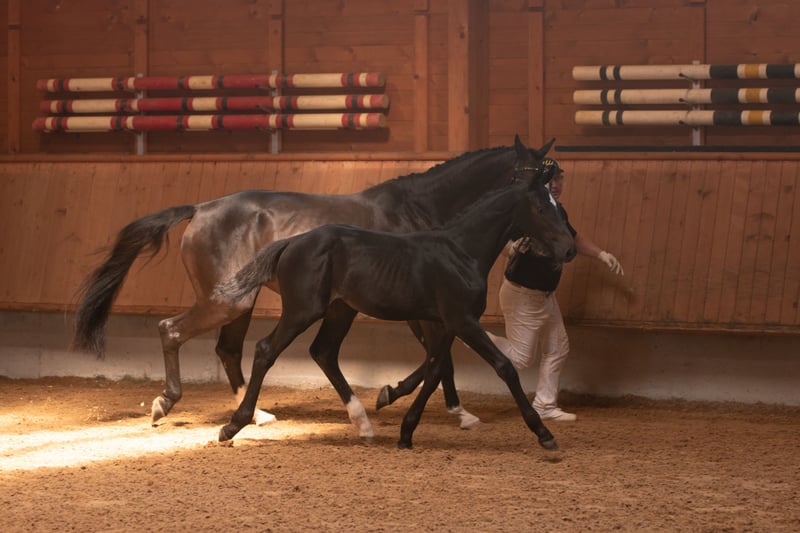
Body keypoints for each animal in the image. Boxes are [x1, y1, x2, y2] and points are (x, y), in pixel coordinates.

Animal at [72, 137, 557, 432]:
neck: (418, 212)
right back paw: (168, 403)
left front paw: (409, 401)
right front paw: (421, 403)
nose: (555, 240)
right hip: (226, 302)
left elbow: (438, 357)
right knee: (172, 330)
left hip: (241, 302)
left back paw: (256, 414)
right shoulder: (422, 307)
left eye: (553, 180)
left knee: (228, 350)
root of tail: (201, 208)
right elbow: (441, 358)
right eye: (529, 177)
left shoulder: (424, 307)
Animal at [212, 136, 577, 450]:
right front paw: (543, 434)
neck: (460, 249)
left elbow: (435, 369)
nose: (570, 248)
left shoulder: (446, 323)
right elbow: (501, 366)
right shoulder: (461, 320)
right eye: (542, 208)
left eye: (557, 203)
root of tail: (292, 241)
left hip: (340, 310)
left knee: (323, 351)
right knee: (264, 350)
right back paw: (235, 425)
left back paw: (363, 424)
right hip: (302, 310)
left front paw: (406, 427)